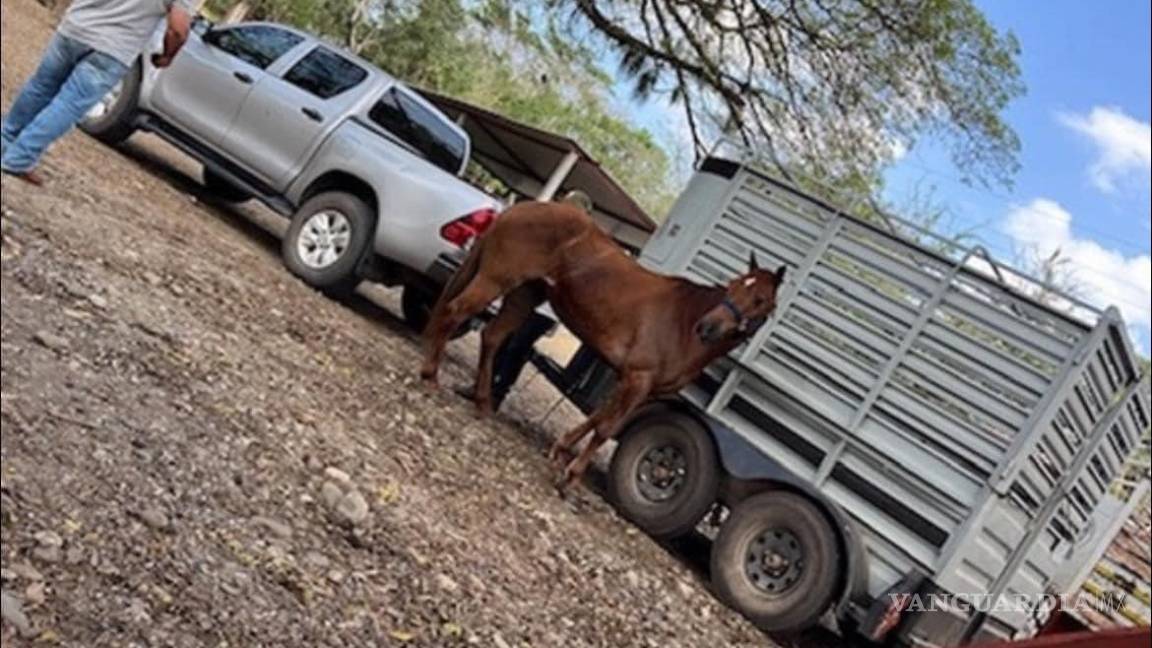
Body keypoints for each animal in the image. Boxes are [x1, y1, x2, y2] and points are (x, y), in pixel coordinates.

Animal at [419, 201, 786, 490]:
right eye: (733, 286)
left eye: (759, 299)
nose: (707, 328)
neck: (681, 322)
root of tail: (522, 207)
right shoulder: (637, 378)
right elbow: (607, 426)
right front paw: (570, 476)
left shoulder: (637, 386)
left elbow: (599, 418)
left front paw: (560, 450)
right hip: (496, 281)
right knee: (453, 313)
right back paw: (430, 377)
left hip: (524, 295)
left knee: (492, 337)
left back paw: (481, 402)